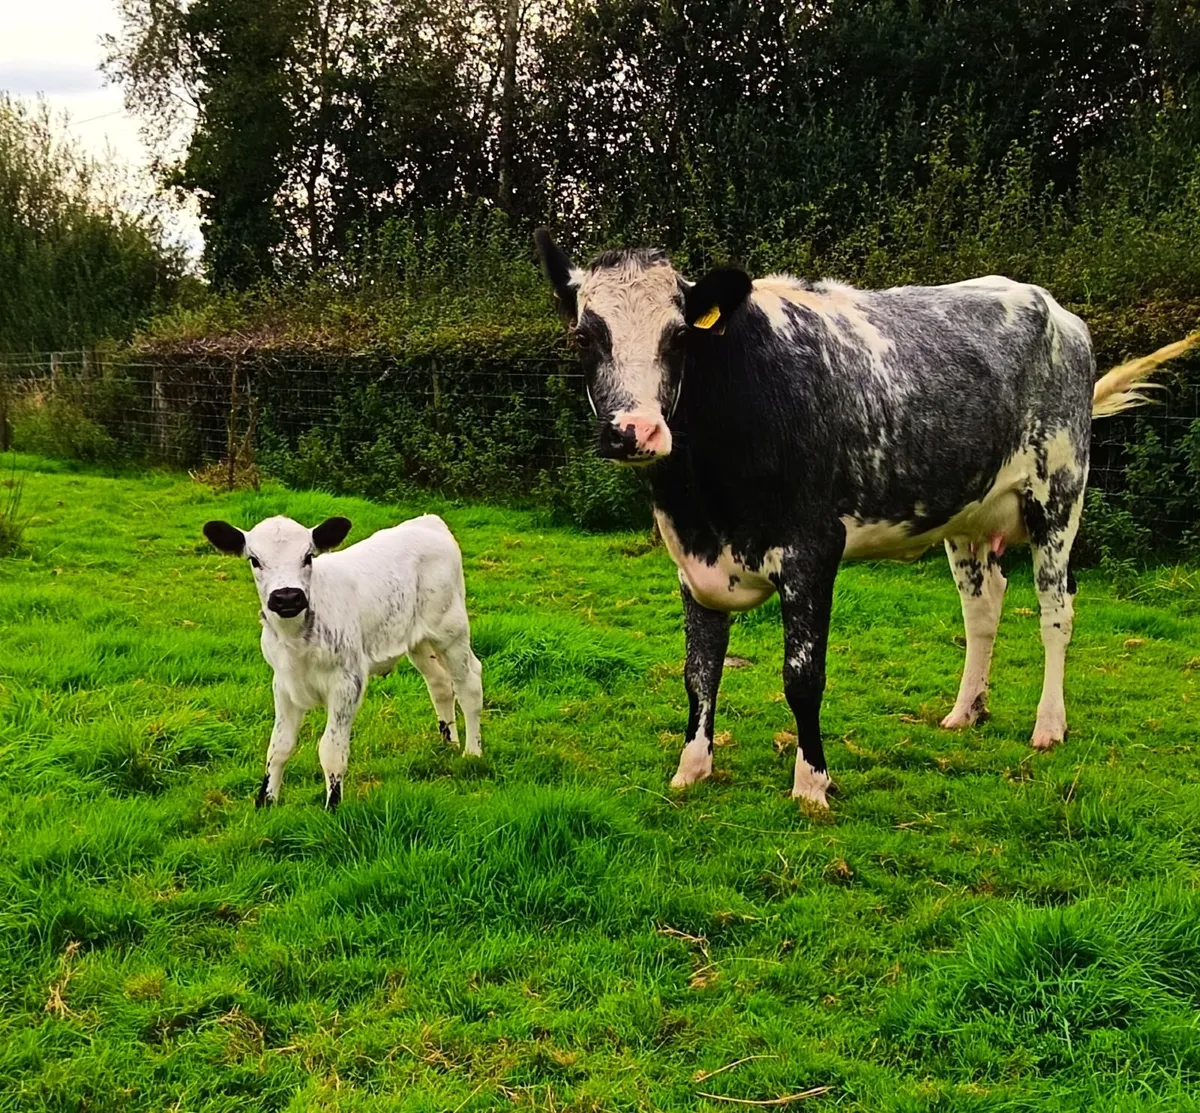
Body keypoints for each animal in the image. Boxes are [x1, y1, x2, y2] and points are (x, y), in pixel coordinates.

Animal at [203, 513, 484, 809]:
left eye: (308, 556)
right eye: (254, 560)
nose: (287, 597)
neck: (296, 641)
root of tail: (428, 521)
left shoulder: (347, 682)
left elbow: (331, 748)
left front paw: (333, 806)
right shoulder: (283, 683)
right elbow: (279, 745)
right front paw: (265, 801)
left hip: (452, 631)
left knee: (469, 684)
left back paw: (472, 752)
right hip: (417, 641)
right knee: (439, 684)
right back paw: (448, 743)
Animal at [534, 229, 1198, 807]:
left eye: (679, 338)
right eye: (584, 337)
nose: (635, 432)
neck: (706, 501)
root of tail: (1054, 307)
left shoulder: (811, 550)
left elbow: (802, 676)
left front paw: (812, 784)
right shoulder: (693, 562)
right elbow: (699, 671)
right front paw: (692, 768)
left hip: (1059, 492)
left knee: (1056, 611)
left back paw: (1048, 725)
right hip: (967, 516)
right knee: (983, 609)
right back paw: (966, 711)